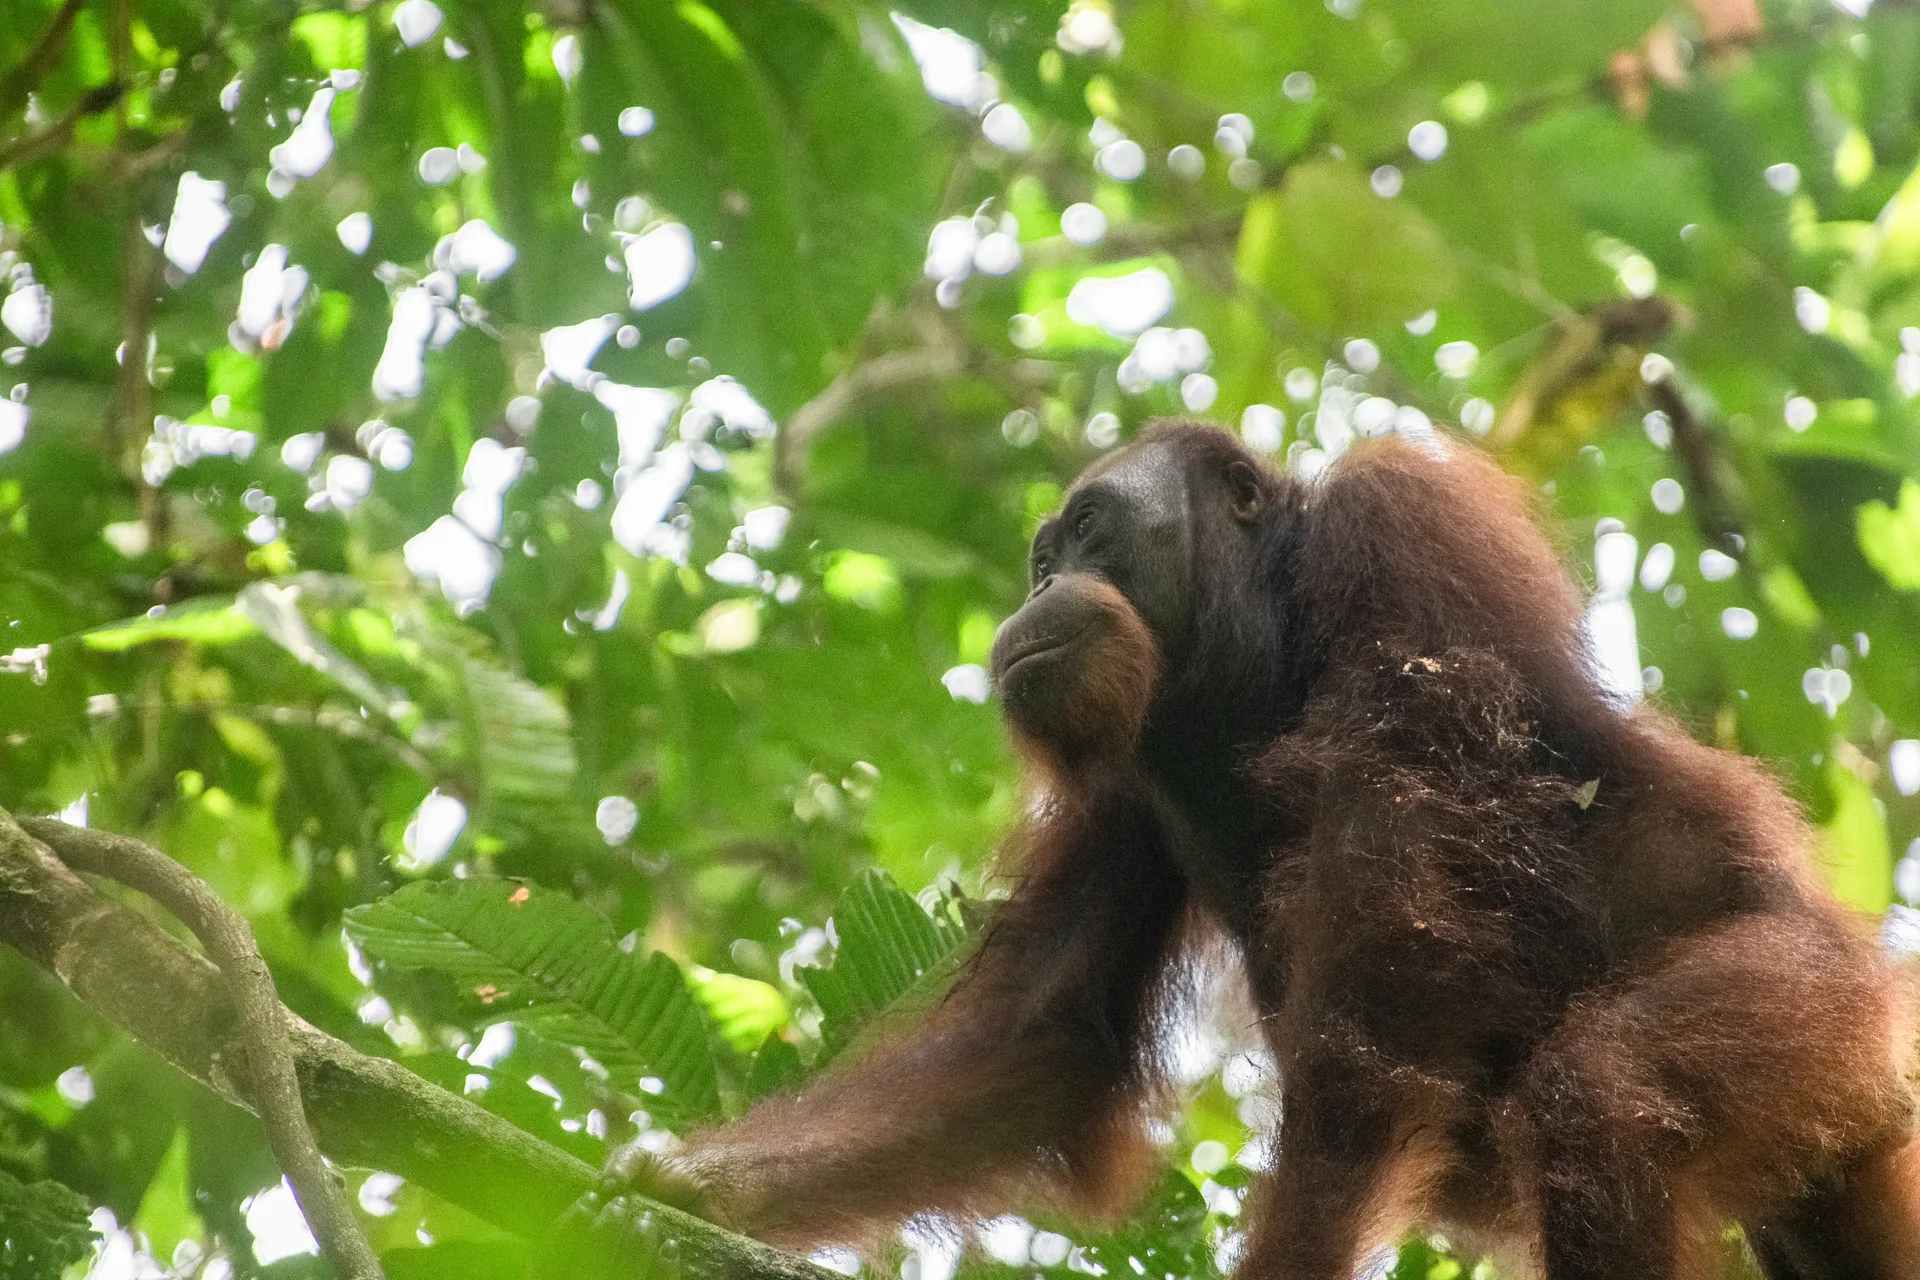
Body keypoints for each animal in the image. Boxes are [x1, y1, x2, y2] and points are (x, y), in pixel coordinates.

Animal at [609, 420, 1920, 1280]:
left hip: (1818, 999)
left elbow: (1392, 968)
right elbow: (1049, 1036)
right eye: (1044, 556)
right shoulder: (1122, 776)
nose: (1033, 598)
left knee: (1604, 1090)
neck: (1245, 655)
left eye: (1090, 532)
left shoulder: (1394, 525)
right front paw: (689, 1185)